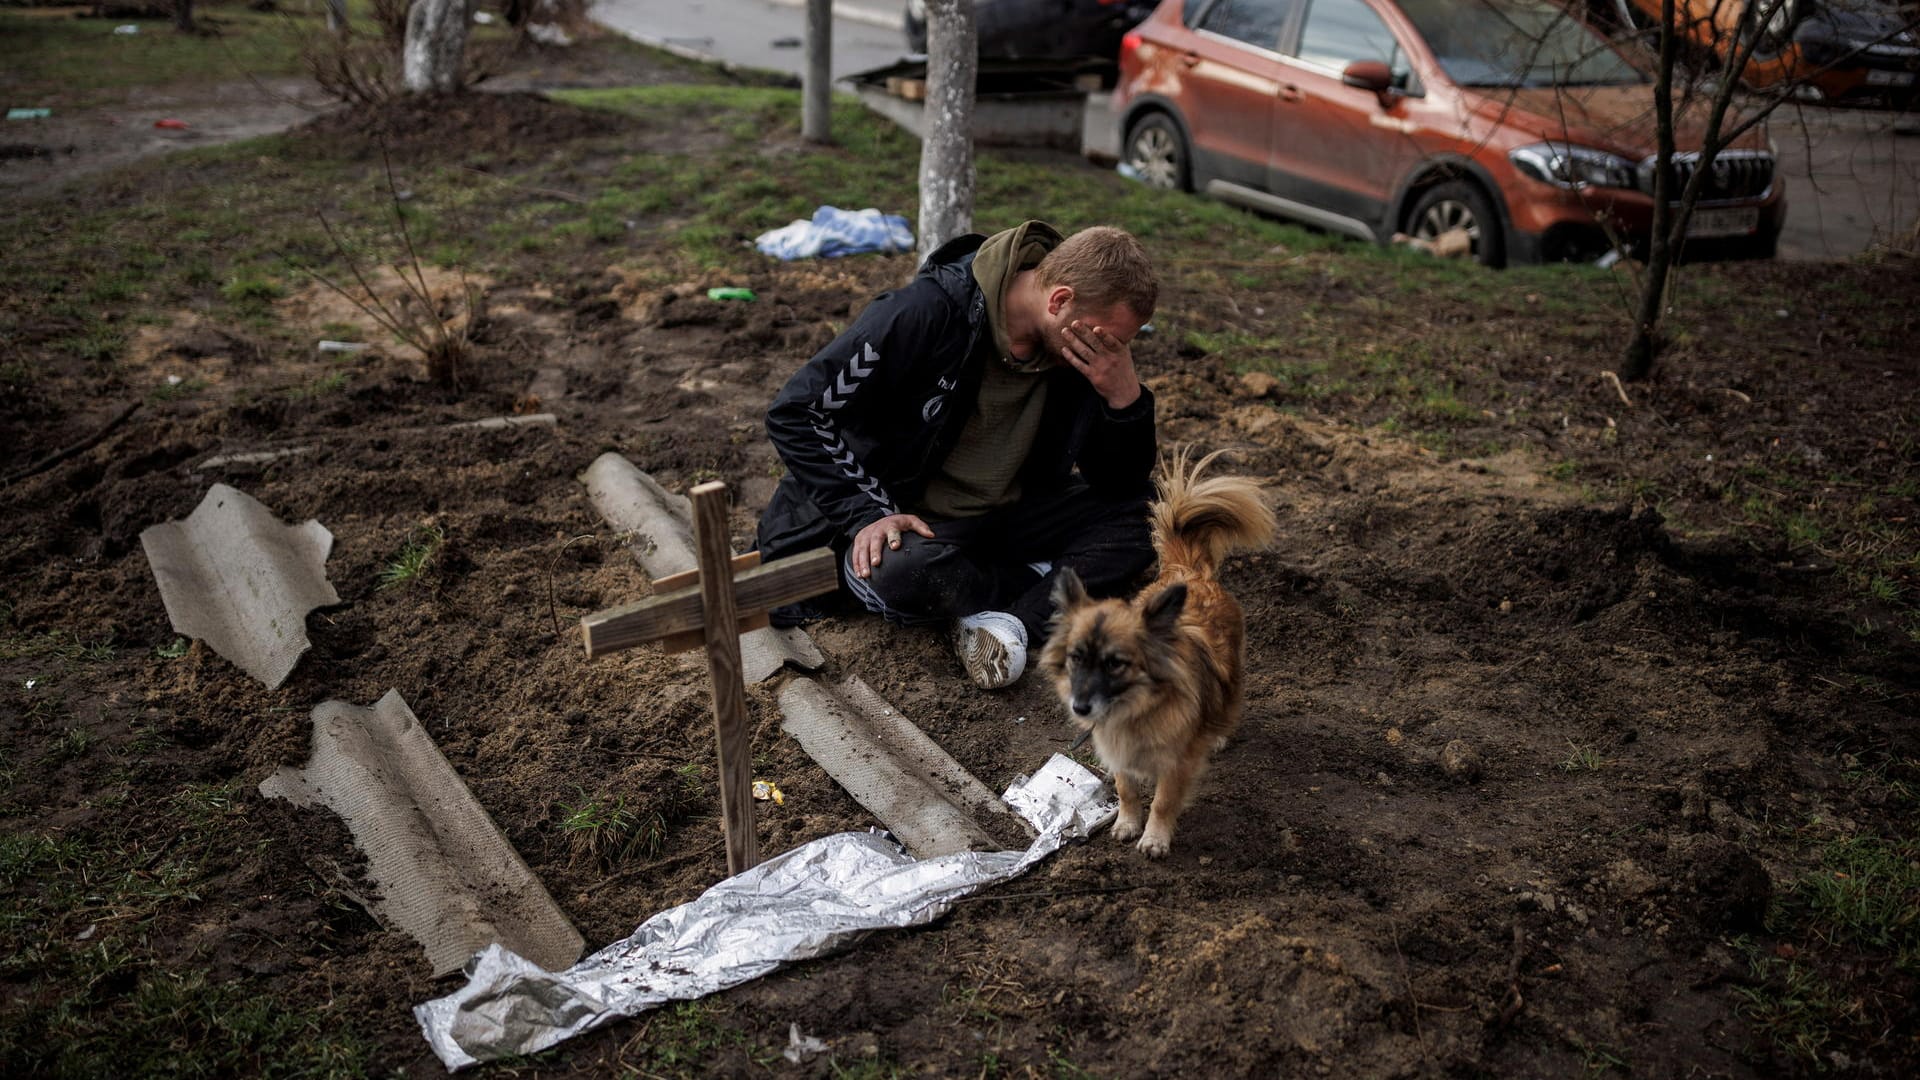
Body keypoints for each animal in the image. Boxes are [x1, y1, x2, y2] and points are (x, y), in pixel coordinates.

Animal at [1036, 445, 1274, 849]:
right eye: (1076, 658)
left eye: (1116, 663)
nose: (1080, 706)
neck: (1136, 709)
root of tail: (1189, 571)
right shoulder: (1117, 754)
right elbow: (1126, 789)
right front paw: (1128, 824)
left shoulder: (1177, 763)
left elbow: (1163, 801)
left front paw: (1154, 839)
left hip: (1231, 674)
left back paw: (1218, 734)